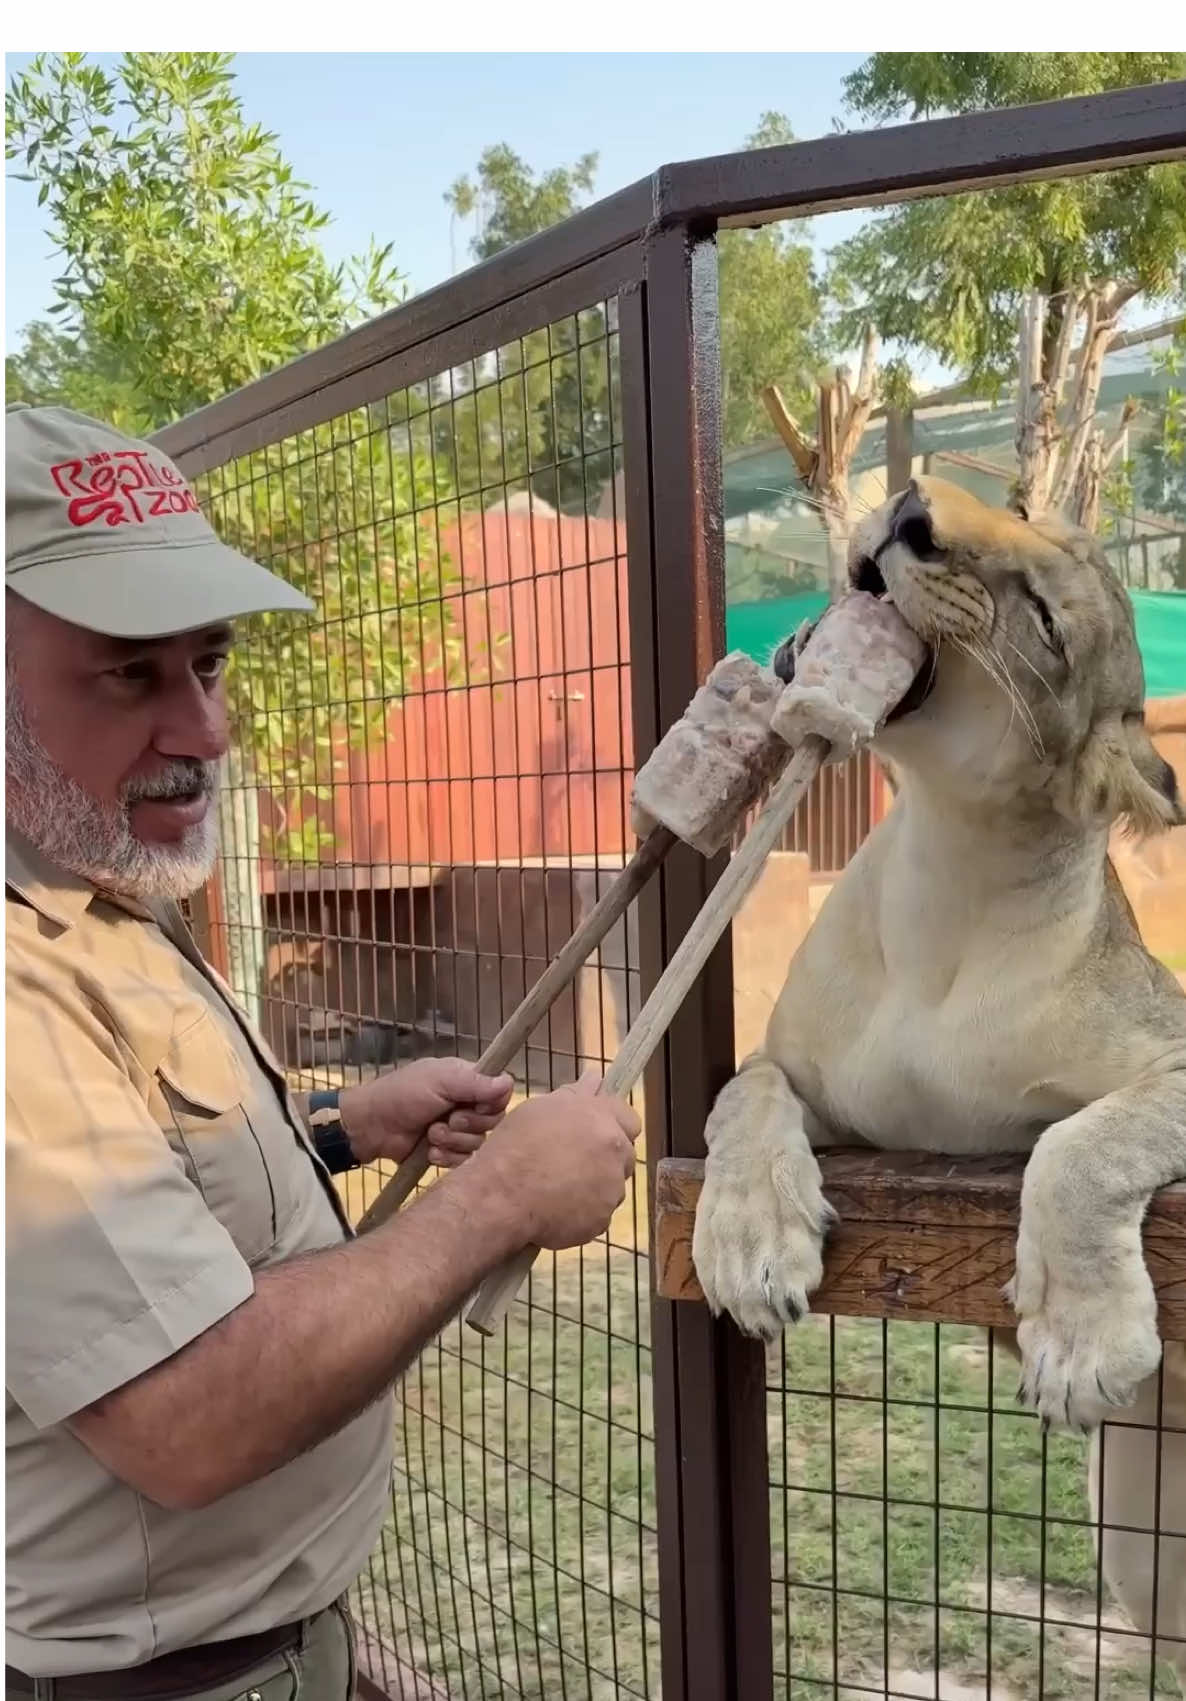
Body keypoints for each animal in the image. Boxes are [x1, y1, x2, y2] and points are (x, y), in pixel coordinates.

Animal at [691, 475, 1186, 1679]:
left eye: (1043, 615)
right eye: (1013, 509)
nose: (912, 506)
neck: (941, 869)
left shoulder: (1171, 1048)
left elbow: (1079, 1146)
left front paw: (1080, 1340)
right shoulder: (798, 1076)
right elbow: (740, 1100)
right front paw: (749, 1250)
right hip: (1146, 1555)